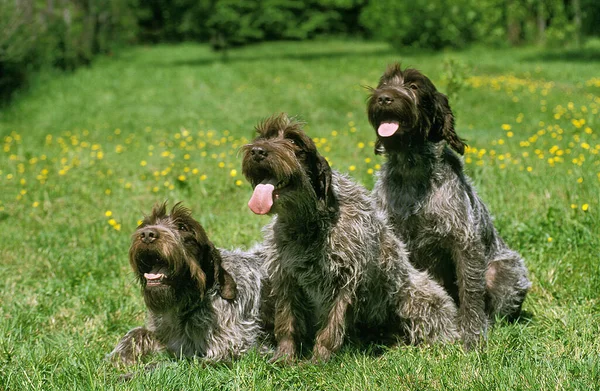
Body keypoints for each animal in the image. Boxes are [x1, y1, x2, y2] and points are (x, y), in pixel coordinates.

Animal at [109, 204, 274, 366]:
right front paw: (118, 357)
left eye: (182, 227)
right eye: (146, 224)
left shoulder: (231, 350)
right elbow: (136, 333)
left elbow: (174, 364)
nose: (147, 235)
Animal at [241, 113, 458, 364]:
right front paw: (284, 358)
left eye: (294, 141)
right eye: (263, 137)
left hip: (420, 297)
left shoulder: (345, 281)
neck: (307, 222)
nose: (257, 151)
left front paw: (319, 361)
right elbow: (287, 323)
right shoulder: (287, 278)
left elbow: (330, 329)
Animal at [366, 63, 528, 350]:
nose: (384, 97)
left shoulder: (465, 242)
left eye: (414, 86)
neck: (412, 170)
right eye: (384, 83)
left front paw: (472, 336)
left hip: (504, 270)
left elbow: (470, 291)